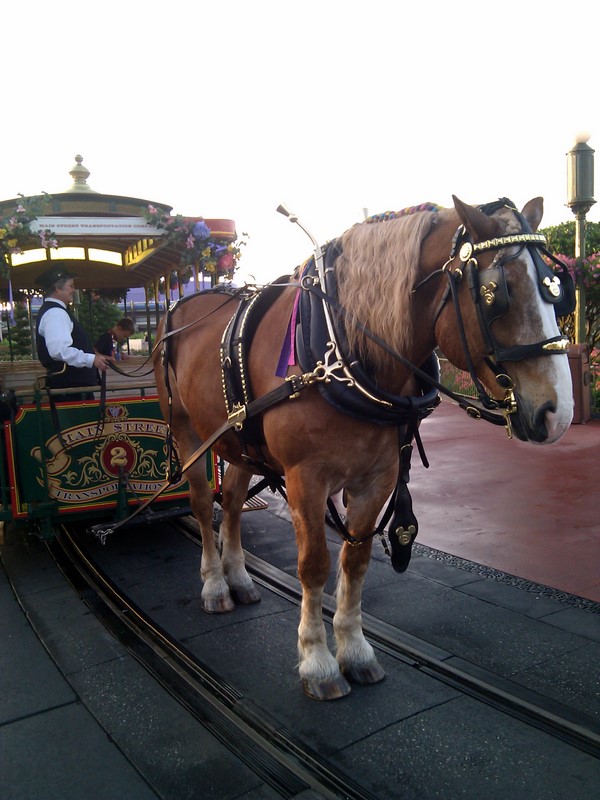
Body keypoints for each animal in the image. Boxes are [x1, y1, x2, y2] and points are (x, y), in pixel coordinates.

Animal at [152, 198, 576, 700]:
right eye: (496, 294)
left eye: (558, 292)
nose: (559, 413)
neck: (341, 354)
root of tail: (179, 306)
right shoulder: (305, 479)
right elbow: (314, 566)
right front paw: (318, 663)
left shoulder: (378, 477)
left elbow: (355, 562)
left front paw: (355, 652)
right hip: (188, 433)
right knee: (202, 504)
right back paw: (216, 586)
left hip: (236, 436)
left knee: (233, 502)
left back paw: (238, 577)